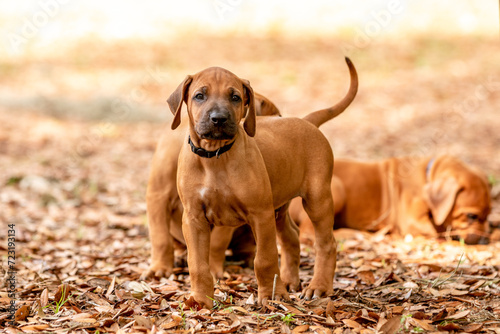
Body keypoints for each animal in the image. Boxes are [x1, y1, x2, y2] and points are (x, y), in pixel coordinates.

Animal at [143, 92, 282, 280]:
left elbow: (217, 242)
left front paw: (213, 269)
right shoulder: (158, 196)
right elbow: (160, 238)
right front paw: (160, 267)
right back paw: (180, 257)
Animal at [292, 155, 490, 244]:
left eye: (488, 215)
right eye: (471, 216)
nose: (485, 240)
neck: (427, 175)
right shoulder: (412, 221)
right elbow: (437, 231)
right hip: (335, 188)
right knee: (310, 232)